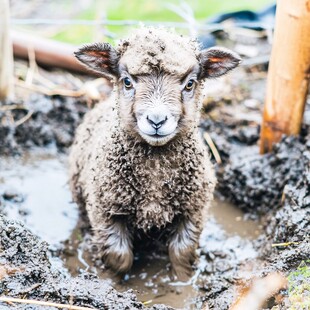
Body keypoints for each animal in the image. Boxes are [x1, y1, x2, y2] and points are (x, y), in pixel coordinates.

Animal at [69, 27, 240, 280]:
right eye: (127, 81)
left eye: (190, 84)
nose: (157, 120)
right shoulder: (105, 209)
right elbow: (119, 256)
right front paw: (112, 281)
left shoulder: (193, 209)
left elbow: (182, 253)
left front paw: (183, 282)